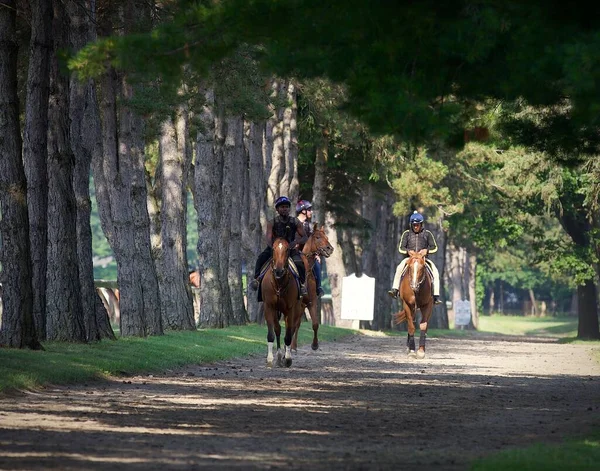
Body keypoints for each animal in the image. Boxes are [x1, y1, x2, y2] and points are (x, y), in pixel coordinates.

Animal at [260, 238, 302, 366]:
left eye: (287, 249)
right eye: (273, 249)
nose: (279, 271)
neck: (279, 284)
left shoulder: (290, 309)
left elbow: (288, 334)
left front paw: (287, 358)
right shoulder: (269, 307)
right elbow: (271, 333)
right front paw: (269, 359)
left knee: (291, 329)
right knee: (277, 329)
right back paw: (278, 356)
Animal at [292, 223, 336, 352]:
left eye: (327, 237)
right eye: (317, 237)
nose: (330, 248)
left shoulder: (312, 302)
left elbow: (315, 324)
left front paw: (315, 345)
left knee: (297, 324)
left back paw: (294, 346)